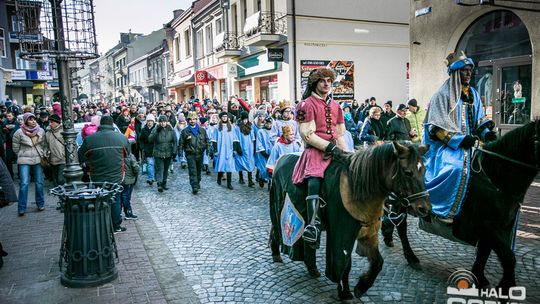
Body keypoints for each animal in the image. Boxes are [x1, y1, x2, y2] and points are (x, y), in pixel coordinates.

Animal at [268, 142, 430, 302]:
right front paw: (345, 293)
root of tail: (280, 159)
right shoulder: (342, 235)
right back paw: (277, 253)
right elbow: (345, 264)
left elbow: (378, 263)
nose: (424, 209)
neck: (358, 188)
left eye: (424, 170)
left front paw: (361, 286)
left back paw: (310, 267)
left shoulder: (368, 232)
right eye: (408, 172)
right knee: (276, 227)